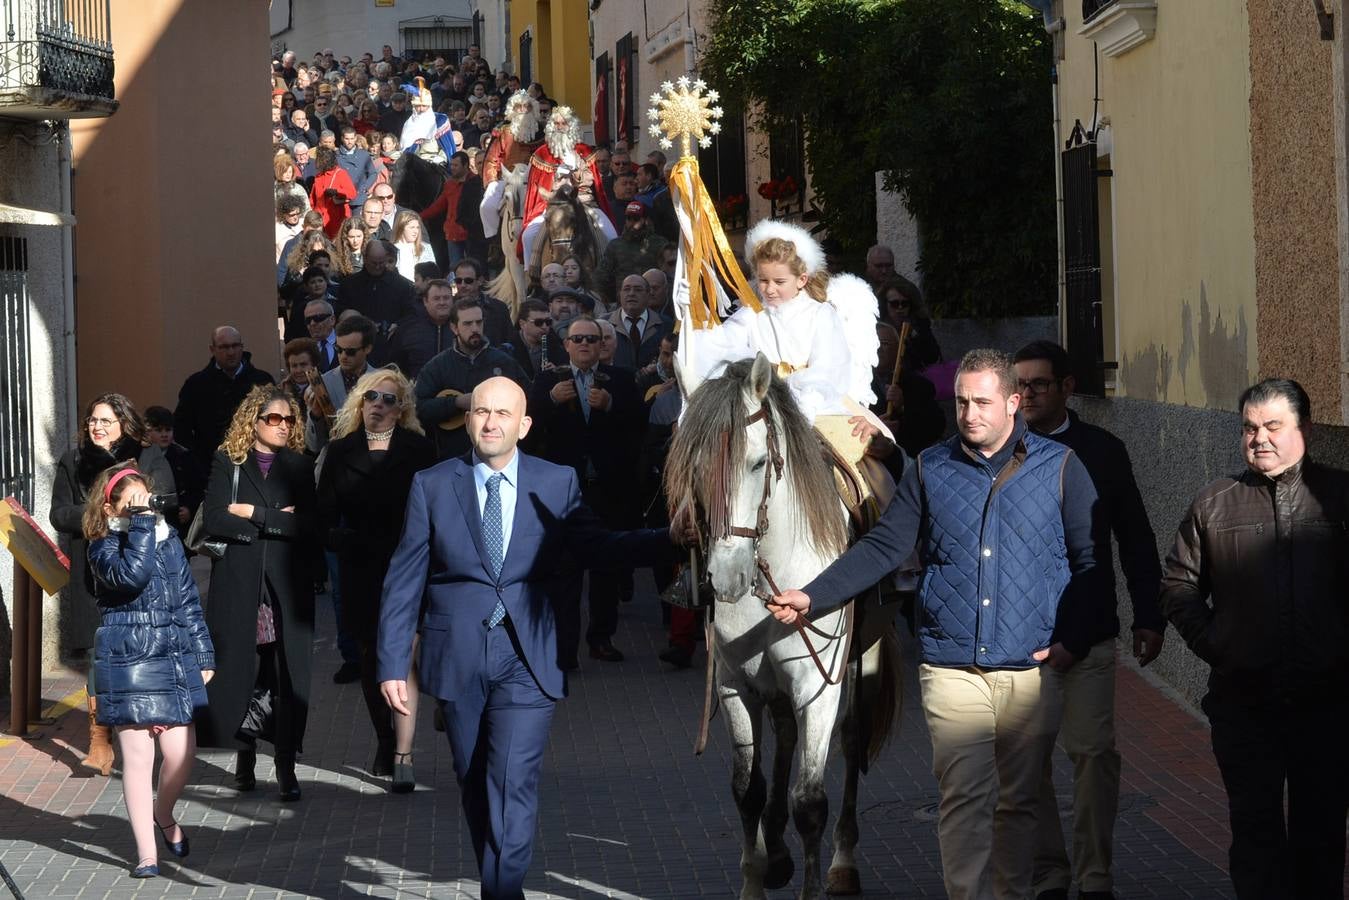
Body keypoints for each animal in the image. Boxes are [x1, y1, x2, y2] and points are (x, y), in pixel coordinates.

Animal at [666, 356, 901, 895]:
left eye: (757, 463)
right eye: (694, 467)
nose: (726, 578)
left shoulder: (817, 685)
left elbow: (810, 802)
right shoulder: (735, 685)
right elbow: (747, 788)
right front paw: (754, 878)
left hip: (863, 658)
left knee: (851, 741)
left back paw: (842, 862)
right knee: (784, 734)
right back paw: (774, 853)